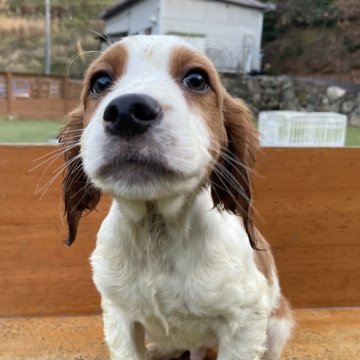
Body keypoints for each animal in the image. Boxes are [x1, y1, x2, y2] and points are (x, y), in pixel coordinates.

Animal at [61, 34, 292, 360]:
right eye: (100, 82)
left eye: (196, 79)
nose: (127, 112)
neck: (157, 232)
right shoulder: (118, 314)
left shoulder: (245, 321)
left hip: (276, 327)